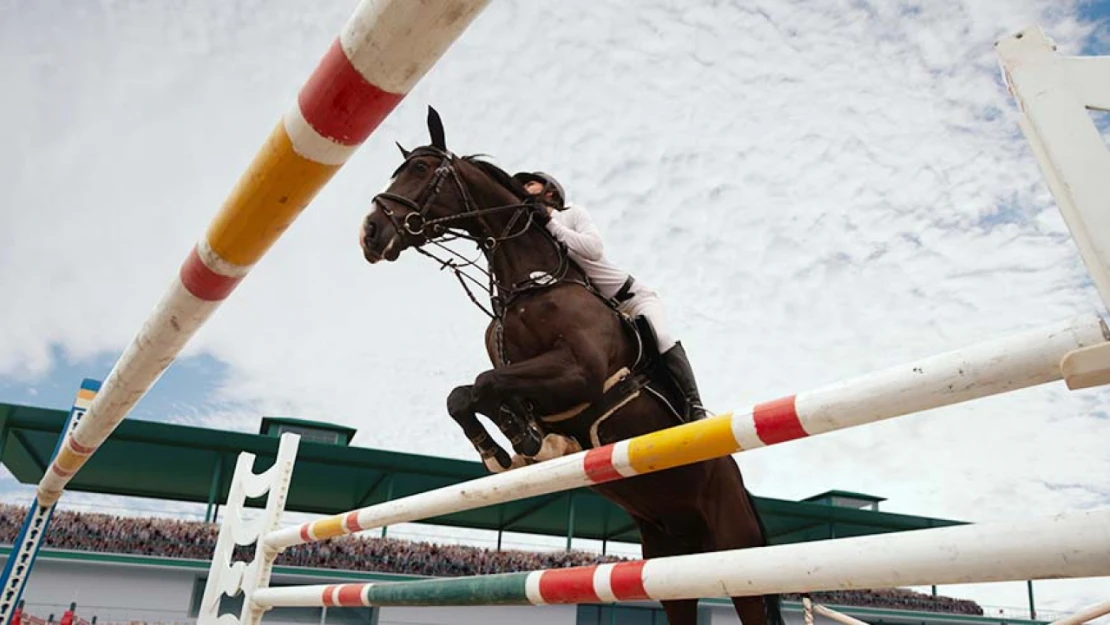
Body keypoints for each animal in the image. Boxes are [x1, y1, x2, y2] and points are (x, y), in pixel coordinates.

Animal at [359, 107, 785, 625]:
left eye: (420, 169)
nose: (370, 233)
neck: (529, 285)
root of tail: (741, 487)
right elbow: (467, 394)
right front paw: (510, 446)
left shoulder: (580, 372)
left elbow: (485, 383)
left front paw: (524, 440)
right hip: (669, 562)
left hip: (735, 557)